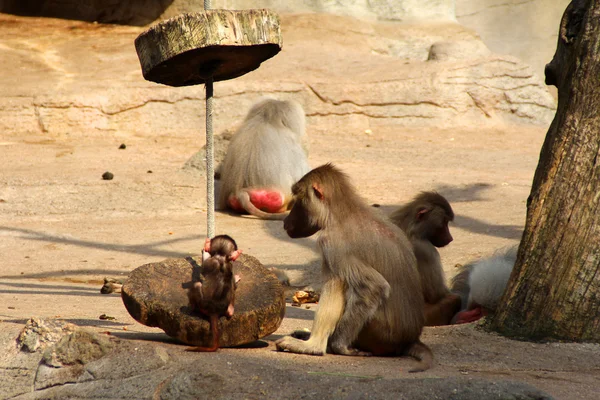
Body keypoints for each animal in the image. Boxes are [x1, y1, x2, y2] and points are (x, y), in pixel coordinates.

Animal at [274, 162, 434, 372]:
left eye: (298, 200)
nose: (285, 222)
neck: (343, 213)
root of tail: (409, 339)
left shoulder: (333, 244)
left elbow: (374, 287)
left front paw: (339, 346)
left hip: (377, 333)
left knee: (337, 281)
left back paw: (313, 346)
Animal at [392, 192, 462, 326]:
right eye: (444, 222)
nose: (450, 238)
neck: (409, 226)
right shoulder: (425, 249)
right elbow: (437, 294)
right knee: (454, 299)